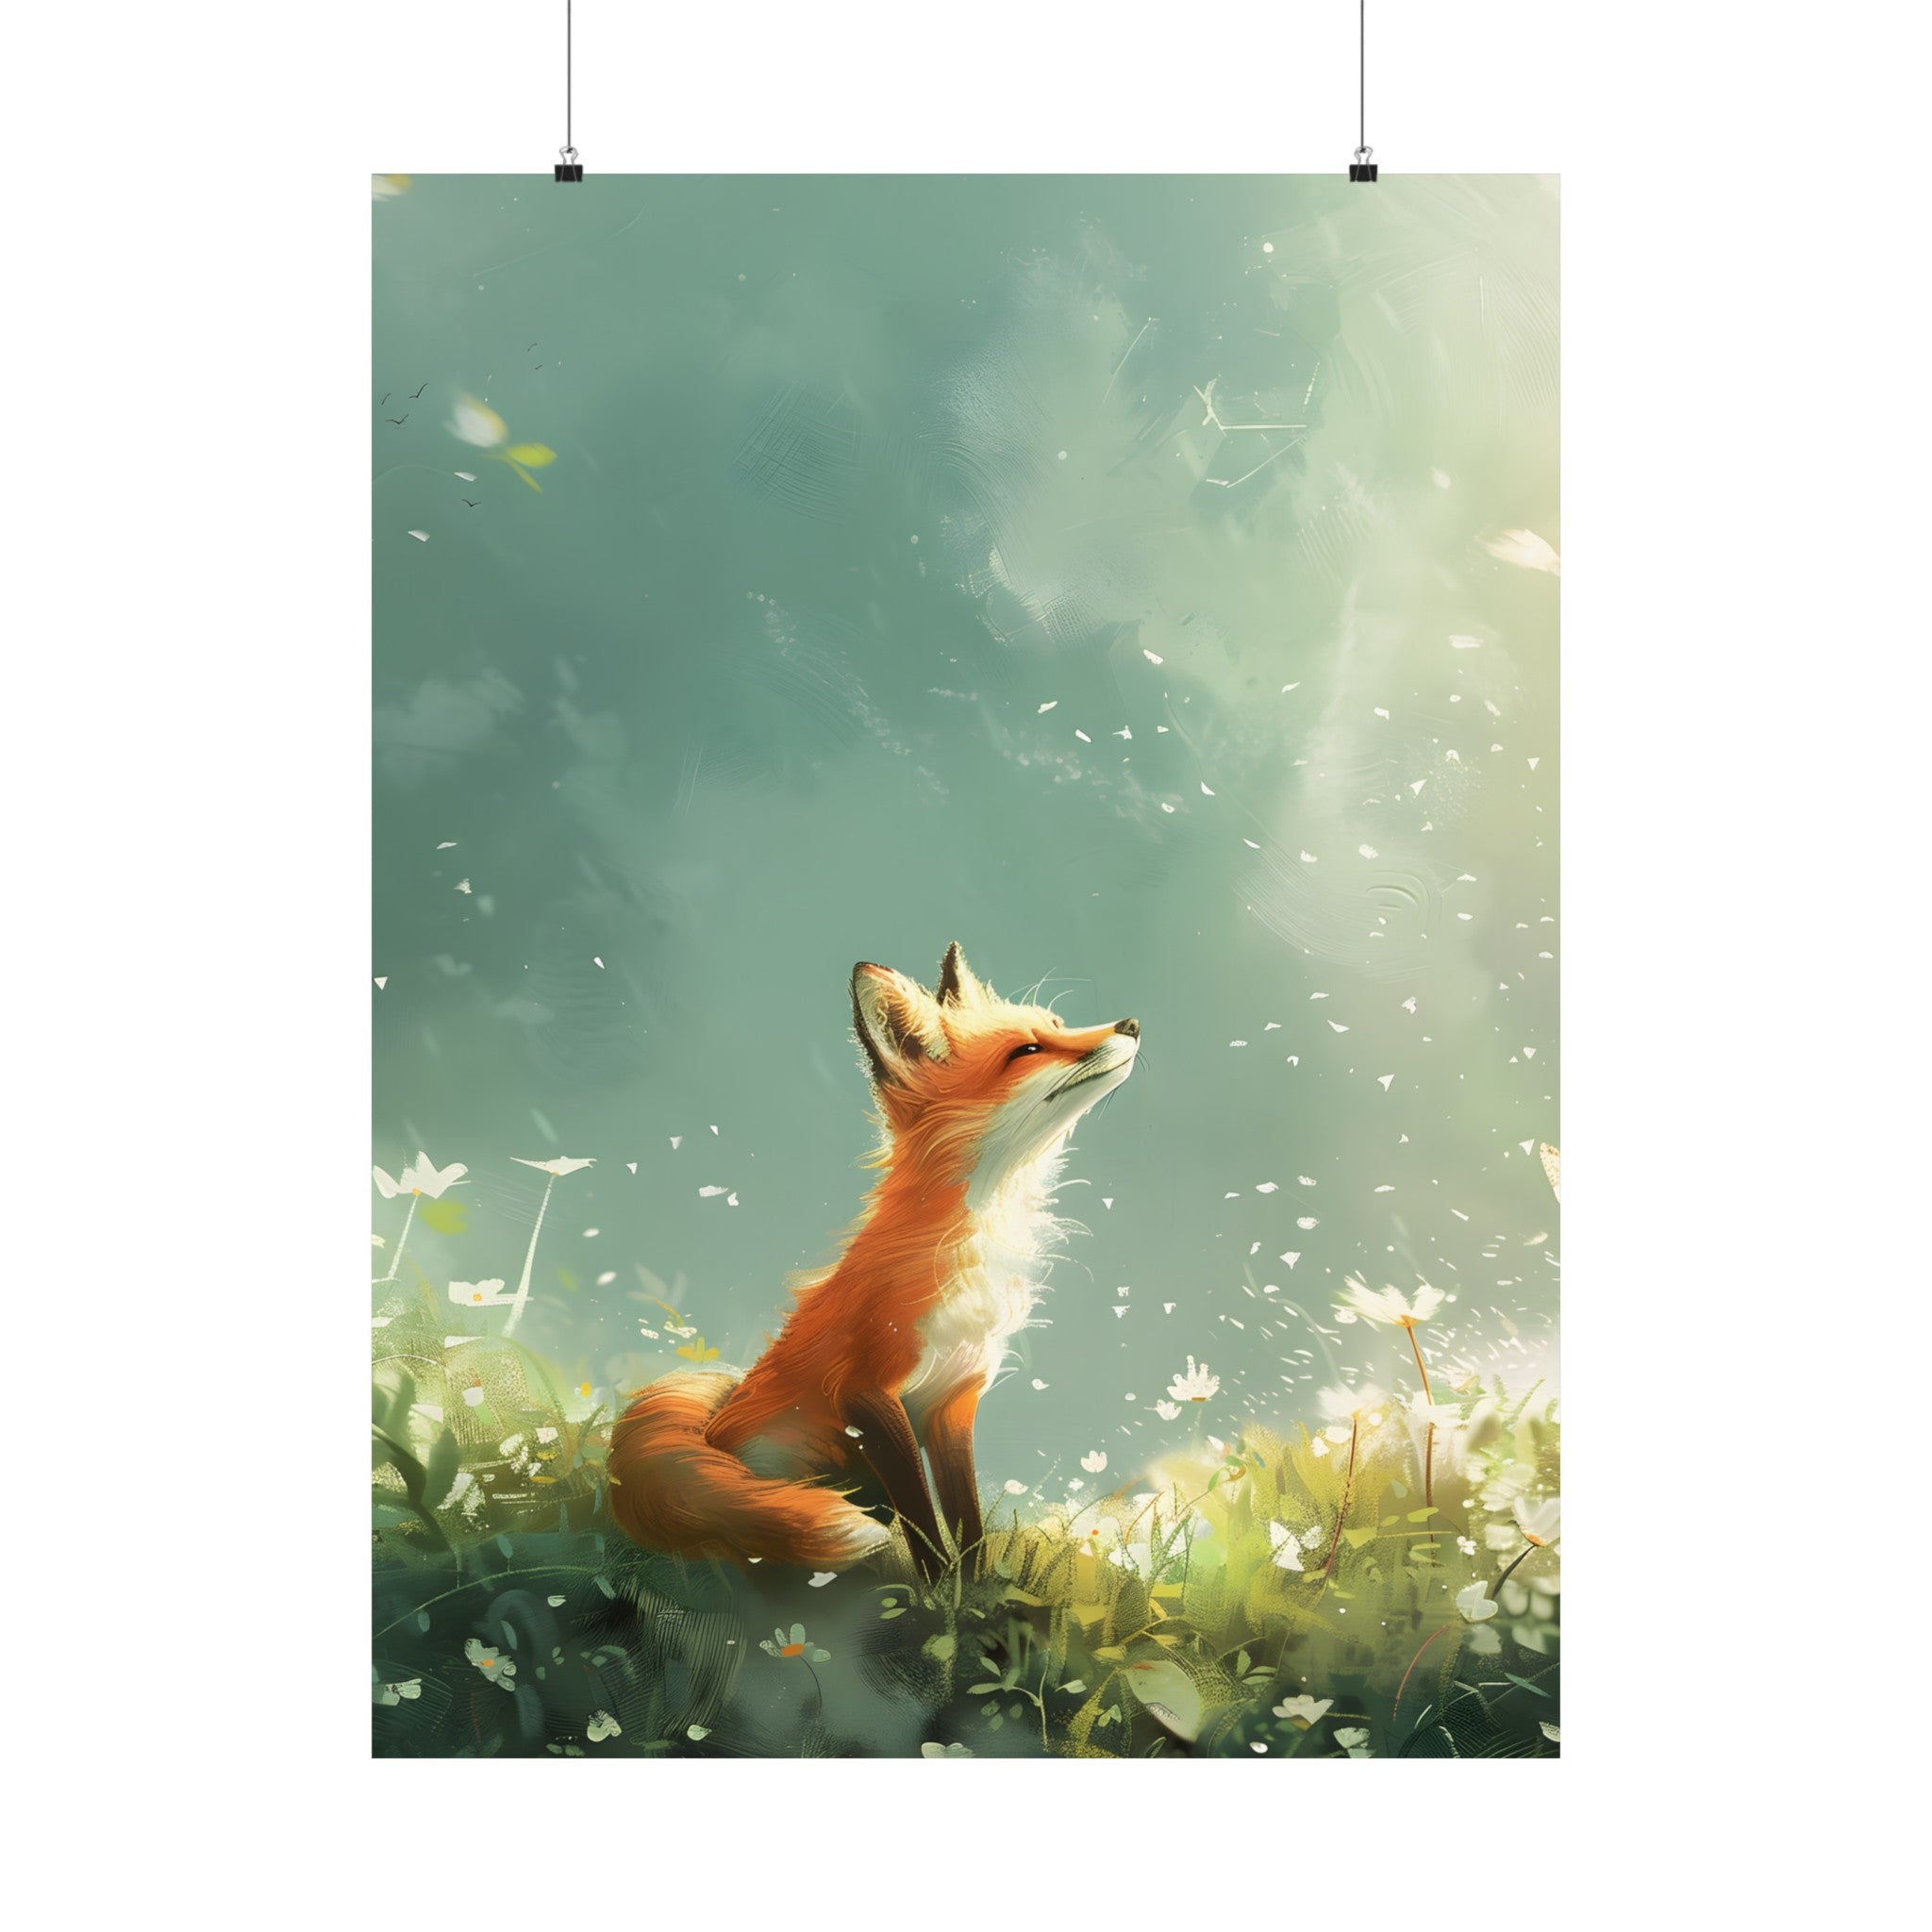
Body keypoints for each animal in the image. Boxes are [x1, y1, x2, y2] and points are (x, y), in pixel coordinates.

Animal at [608, 944, 1140, 1581]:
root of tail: (709, 1427)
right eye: (1027, 1051)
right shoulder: (866, 1392)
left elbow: (967, 1522)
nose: (1132, 1024)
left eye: (1058, 1024)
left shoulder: (955, 1395)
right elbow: (922, 1521)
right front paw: (937, 1591)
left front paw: (975, 1588)